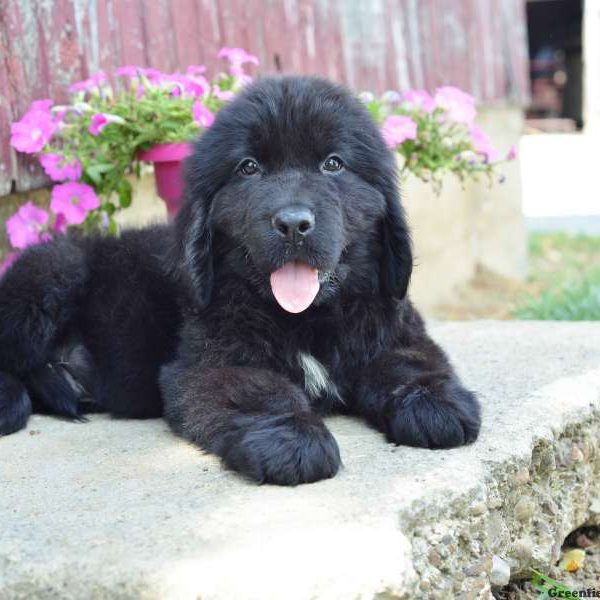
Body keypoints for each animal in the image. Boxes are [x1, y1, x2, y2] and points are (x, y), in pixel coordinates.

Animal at [0, 76, 480, 488]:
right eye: (249, 168)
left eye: (333, 164)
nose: (293, 223)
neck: (308, 318)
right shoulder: (209, 363)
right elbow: (262, 391)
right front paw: (293, 440)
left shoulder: (392, 327)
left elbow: (409, 361)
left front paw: (433, 404)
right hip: (54, 271)